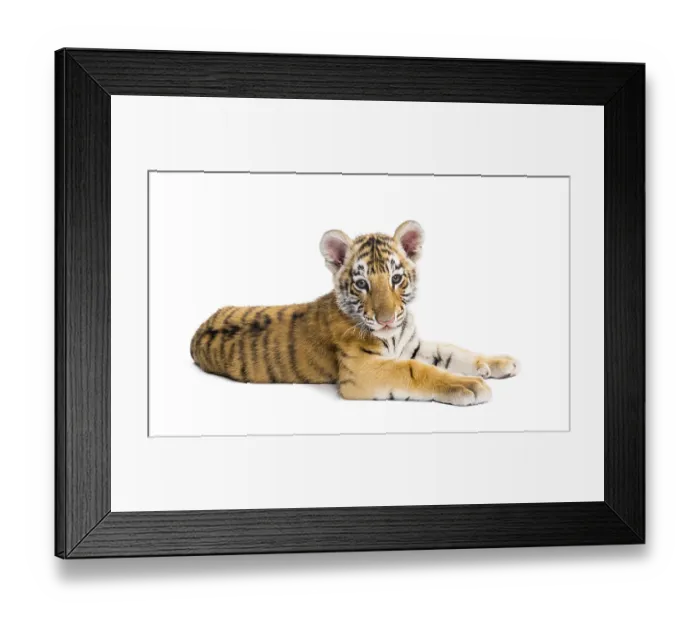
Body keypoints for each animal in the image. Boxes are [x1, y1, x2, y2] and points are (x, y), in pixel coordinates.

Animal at [190, 221, 520, 406]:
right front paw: (469, 385)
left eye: (396, 279)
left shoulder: (410, 343)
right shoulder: (362, 370)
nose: (386, 320)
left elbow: (452, 350)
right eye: (362, 284)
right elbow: (415, 370)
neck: (394, 334)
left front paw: (498, 363)